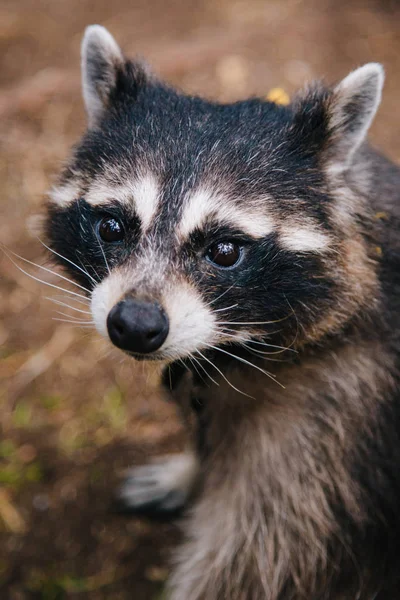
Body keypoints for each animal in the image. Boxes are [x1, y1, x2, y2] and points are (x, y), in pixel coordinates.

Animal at [43, 24, 400, 600]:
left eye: (225, 251)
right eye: (112, 227)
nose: (135, 325)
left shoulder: (340, 421)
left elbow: (250, 562)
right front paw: (192, 471)